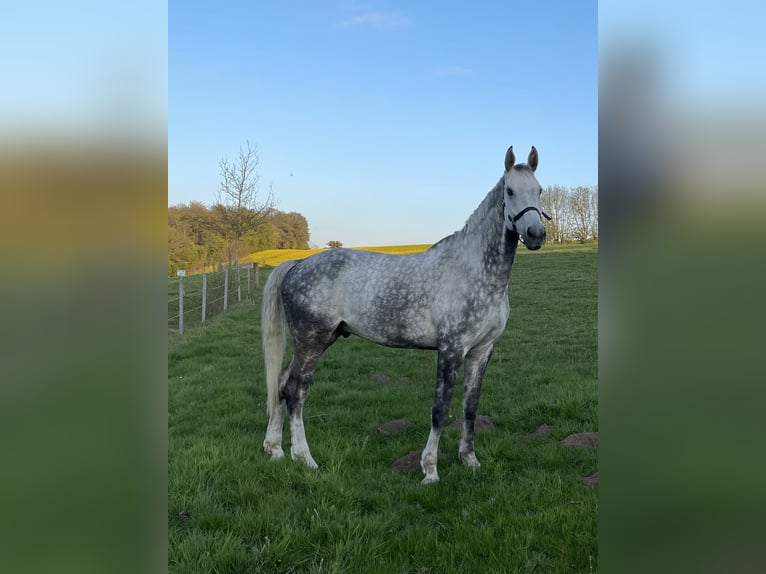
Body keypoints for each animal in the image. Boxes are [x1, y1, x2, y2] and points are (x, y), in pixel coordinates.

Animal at [260, 145, 548, 486]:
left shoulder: (481, 351)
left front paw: (470, 460)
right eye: (510, 190)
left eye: (539, 190)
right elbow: (440, 410)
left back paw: (275, 450)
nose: (535, 234)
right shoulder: (451, 349)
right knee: (296, 392)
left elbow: (470, 407)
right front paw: (430, 470)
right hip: (311, 343)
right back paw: (305, 459)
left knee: (280, 384)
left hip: (313, 342)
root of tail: (297, 264)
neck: (475, 272)